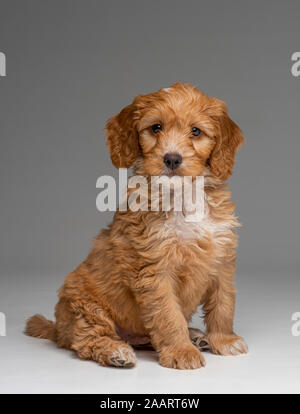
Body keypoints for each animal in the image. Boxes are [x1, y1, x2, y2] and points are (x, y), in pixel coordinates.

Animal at [25, 81, 247, 368]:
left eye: (196, 131)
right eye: (156, 128)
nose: (172, 158)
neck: (184, 199)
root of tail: (59, 329)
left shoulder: (221, 259)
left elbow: (224, 304)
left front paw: (225, 340)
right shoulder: (155, 270)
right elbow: (168, 315)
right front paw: (180, 352)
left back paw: (196, 336)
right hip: (85, 307)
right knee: (86, 340)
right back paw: (115, 351)